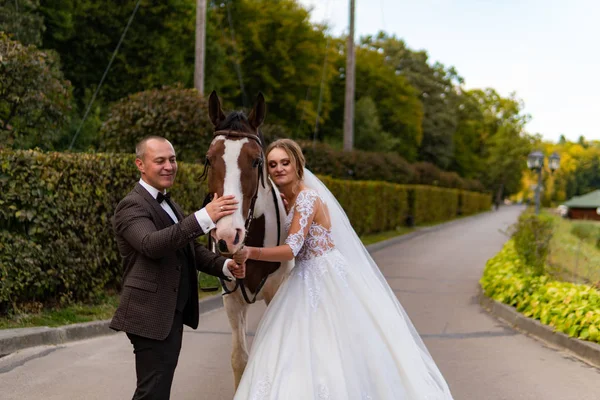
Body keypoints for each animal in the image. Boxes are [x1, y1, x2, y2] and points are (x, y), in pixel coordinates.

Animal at [203, 90, 294, 388]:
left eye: (255, 161)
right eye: (209, 159)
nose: (227, 235)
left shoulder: (277, 292)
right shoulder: (231, 298)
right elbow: (239, 359)